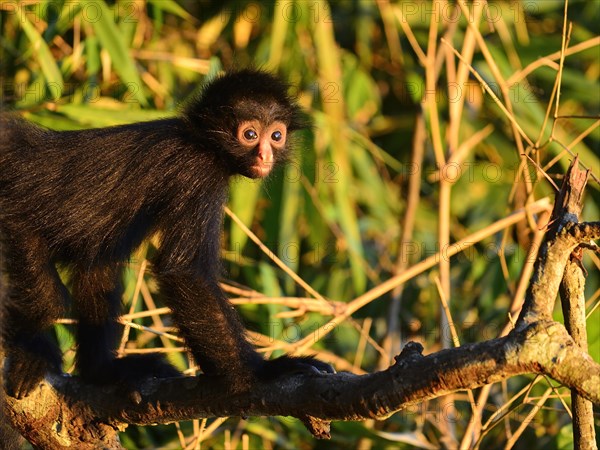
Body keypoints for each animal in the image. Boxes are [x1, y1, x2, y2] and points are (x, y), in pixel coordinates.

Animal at [0, 68, 332, 400]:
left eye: (276, 136)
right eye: (250, 135)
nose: (265, 156)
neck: (199, 140)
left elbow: (99, 267)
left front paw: (103, 373)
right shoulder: (197, 172)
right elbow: (185, 272)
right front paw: (261, 373)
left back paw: (100, 372)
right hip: (15, 220)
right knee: (49, 299)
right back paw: (31, 355)